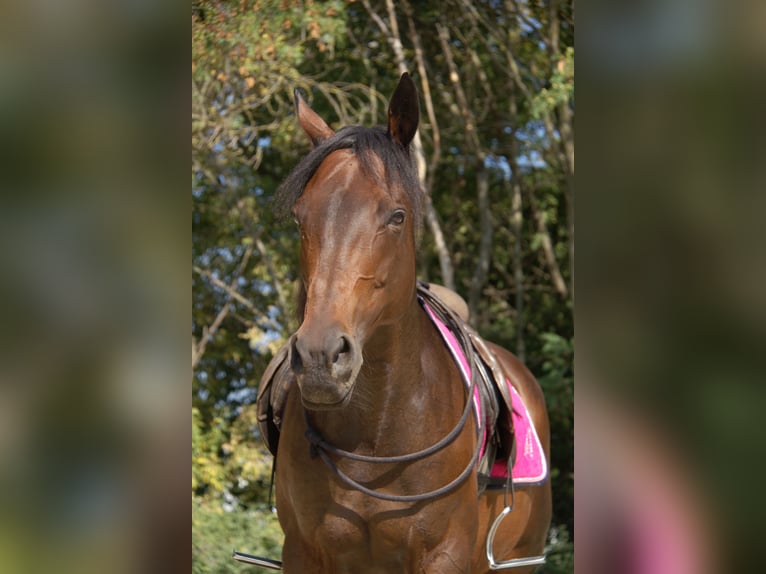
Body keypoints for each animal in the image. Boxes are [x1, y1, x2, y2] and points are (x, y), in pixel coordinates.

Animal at [264, 73, 551, 573]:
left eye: (396, 216)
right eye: (301, 220)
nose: (320, 356)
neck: (377, 434)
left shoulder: (444, 556)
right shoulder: (304, 553)